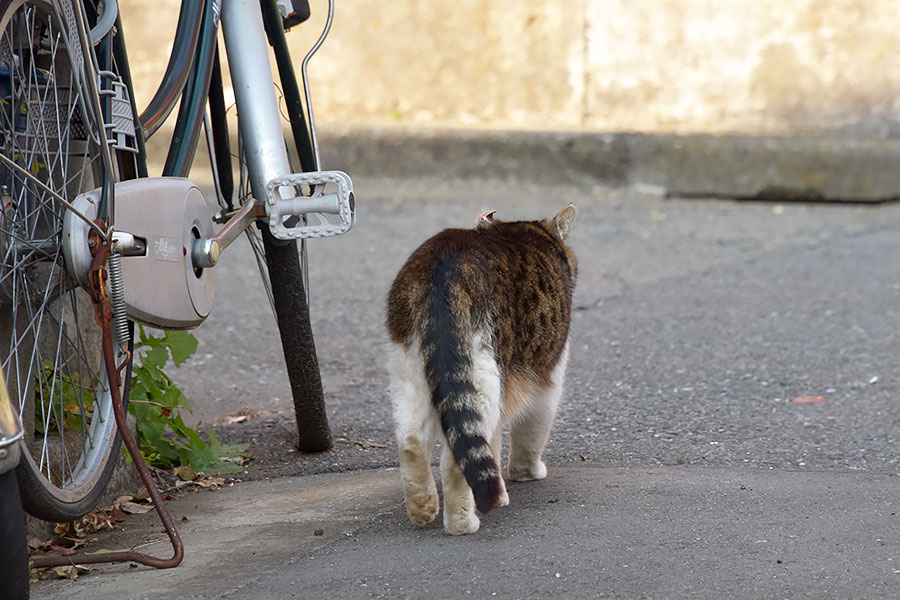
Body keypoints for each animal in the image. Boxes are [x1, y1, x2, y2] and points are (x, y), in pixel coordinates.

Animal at [384, 203, 576, 536]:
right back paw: (463, 523)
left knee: (410, 441)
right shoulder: (547, 380)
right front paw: (525, 473)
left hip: (407, 370)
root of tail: (443, 267)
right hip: (482, 375)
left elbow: (493, 443)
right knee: (454, 460)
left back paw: (423, 507)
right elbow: (531, 433)